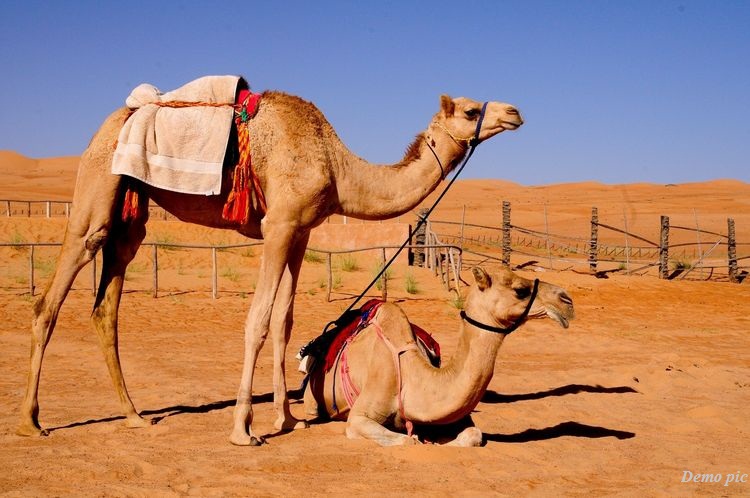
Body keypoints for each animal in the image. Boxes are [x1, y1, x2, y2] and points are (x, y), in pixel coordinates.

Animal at [17, 83, 523, 446]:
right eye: (471, 111)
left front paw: (287, 418)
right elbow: (258, 319)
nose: (514, 112)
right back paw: (31, 422)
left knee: (106, 306)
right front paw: (244, 429)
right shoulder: (277, 225)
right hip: (97, 187)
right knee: (52, 296)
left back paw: (134, 416)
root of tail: (109, 123)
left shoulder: (301, 231)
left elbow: (284, 320)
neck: (338, 169)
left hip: (130, 215)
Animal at [302, 267, 574, 446]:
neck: (412, 376)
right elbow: (409, 441)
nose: (567, 300)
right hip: (312, 399)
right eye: (520, 290)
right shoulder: (359, 417)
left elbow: (474, 435)